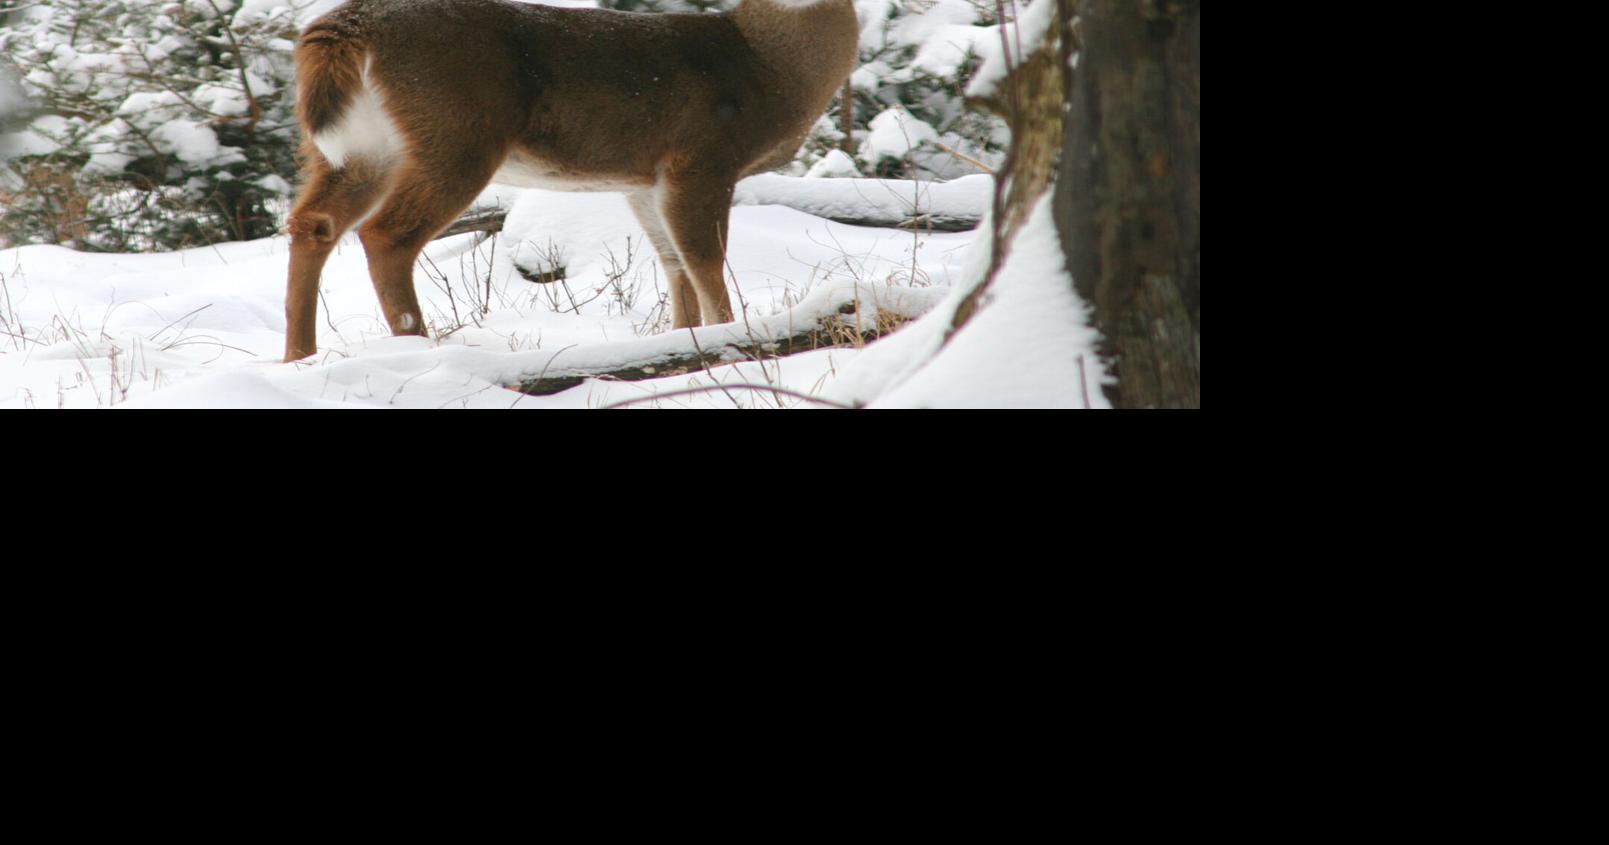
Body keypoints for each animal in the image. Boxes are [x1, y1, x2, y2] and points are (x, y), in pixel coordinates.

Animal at [282, 0, 861, 362]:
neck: (766, 69)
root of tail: (348, 27)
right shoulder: (701, 157)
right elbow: (704, 263)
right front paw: (731, 341)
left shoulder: (643, 179)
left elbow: (673, 264)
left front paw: (680, 340)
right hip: (456, 131)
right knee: (386, 234)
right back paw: (416, 345)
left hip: (360, 148)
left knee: (314, 222)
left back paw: (298, 357)